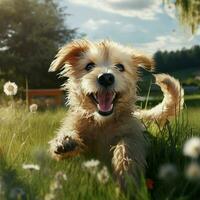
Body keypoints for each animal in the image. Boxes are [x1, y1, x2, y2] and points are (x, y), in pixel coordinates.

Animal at [48, 40, 183, 188]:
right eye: (89, 66)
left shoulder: (133, 133)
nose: (106, 77)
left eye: (120, 67)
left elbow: (127, 146)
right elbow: (68, 133)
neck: (103, 123)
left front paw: (126, 172)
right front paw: (65, 141)